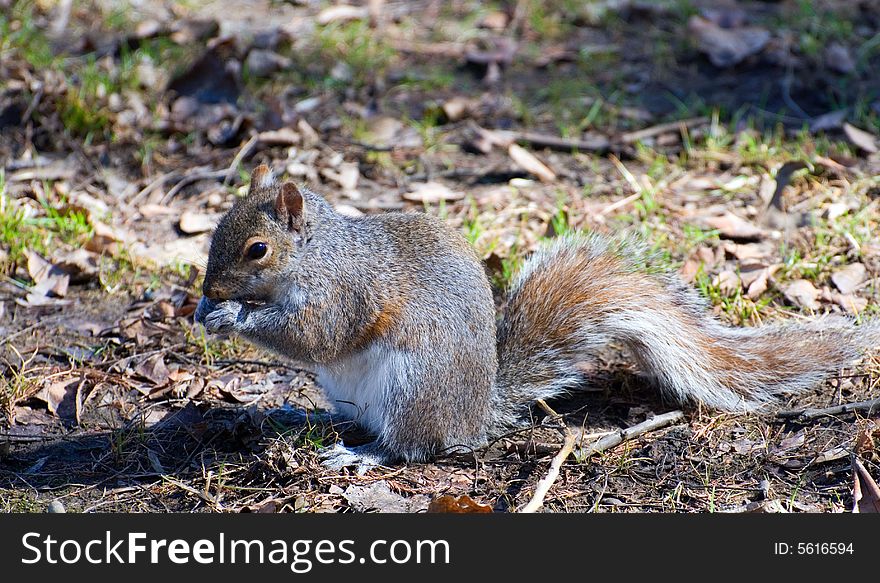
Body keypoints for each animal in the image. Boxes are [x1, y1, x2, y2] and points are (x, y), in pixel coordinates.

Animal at [194, 164, 880, 470]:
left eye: (256, 250)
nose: (206, 292)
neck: (319, 254)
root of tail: (476, 414)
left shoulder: (349, 292)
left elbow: (318, 335)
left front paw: (233, 315)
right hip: (356, 394)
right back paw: (305, 418)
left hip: (412, 386)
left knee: (413, 446)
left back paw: (364, 456)